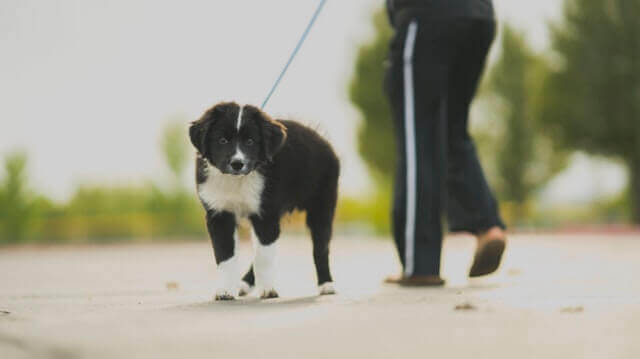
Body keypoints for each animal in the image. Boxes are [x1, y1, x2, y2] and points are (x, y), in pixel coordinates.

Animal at [189, 102, 340, 302]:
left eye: (250, 142)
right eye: (222, 140)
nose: (237, 164)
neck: (237, 181)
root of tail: (321, 139)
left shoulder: (266, 215)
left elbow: (264, 258)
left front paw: (268, 290)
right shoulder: (219, 214)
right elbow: (225, 256)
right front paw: (225, 291)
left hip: (322, 206)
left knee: (320, 248)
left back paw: (326, 285)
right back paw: (244, 284)